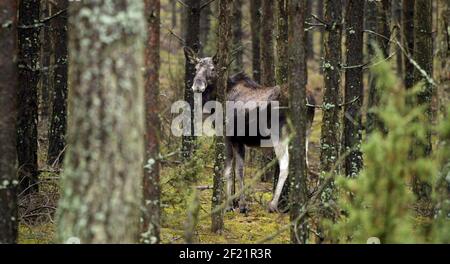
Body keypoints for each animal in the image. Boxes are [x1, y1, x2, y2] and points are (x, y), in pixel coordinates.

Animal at [185, 49, 314, 212]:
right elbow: (240, 170)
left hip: (280, 135)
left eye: (212, 69)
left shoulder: (227, 135)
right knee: (306, 164)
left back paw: (273, 204)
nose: (197, 86)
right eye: (195, 69)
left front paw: (230, 205)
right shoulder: (240, 140)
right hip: (306, 133)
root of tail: (310, 101)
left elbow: (229, 171)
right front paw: (241, 204)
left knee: (285, 165)